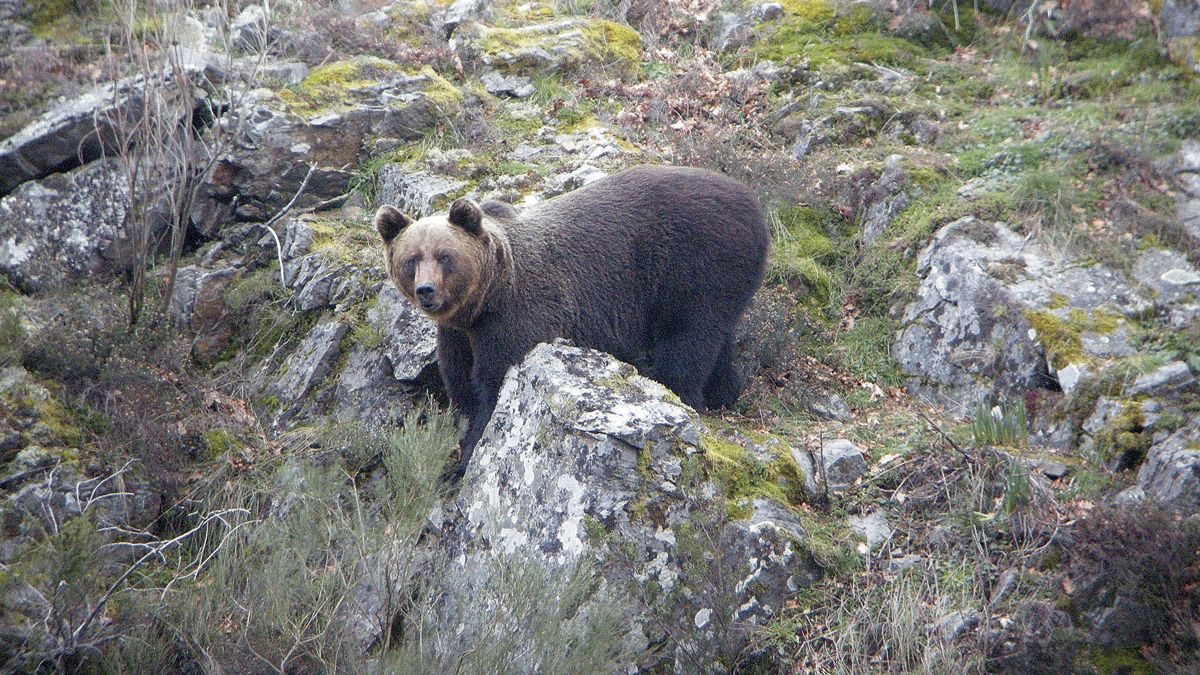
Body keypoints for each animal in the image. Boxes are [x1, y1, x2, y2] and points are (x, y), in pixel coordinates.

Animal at [374, 163, 768, 473]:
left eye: (445, 256)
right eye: (411, 258)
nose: (426, 290)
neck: (486, 299)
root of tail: (753, 201)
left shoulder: (517, 321)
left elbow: (494, 389)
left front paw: (468, 455)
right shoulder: (458, 334)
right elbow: (460, 386)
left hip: (696, 266)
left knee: (687, 340)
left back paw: (683, 393)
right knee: (717, 339)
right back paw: (724, 390)